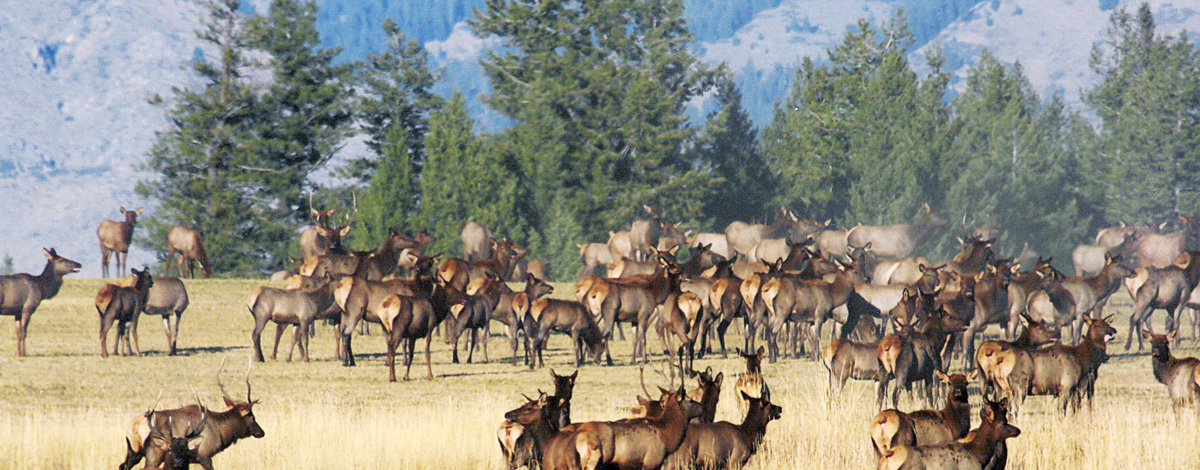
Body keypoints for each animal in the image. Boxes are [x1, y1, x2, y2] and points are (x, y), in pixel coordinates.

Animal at [119, 362, 265, 470]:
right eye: (252, 418)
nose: (261, 432)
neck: (222, 432)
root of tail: (134, 426)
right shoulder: (204, 455)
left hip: (134, 451)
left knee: (122, 465)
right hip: (153, 453)